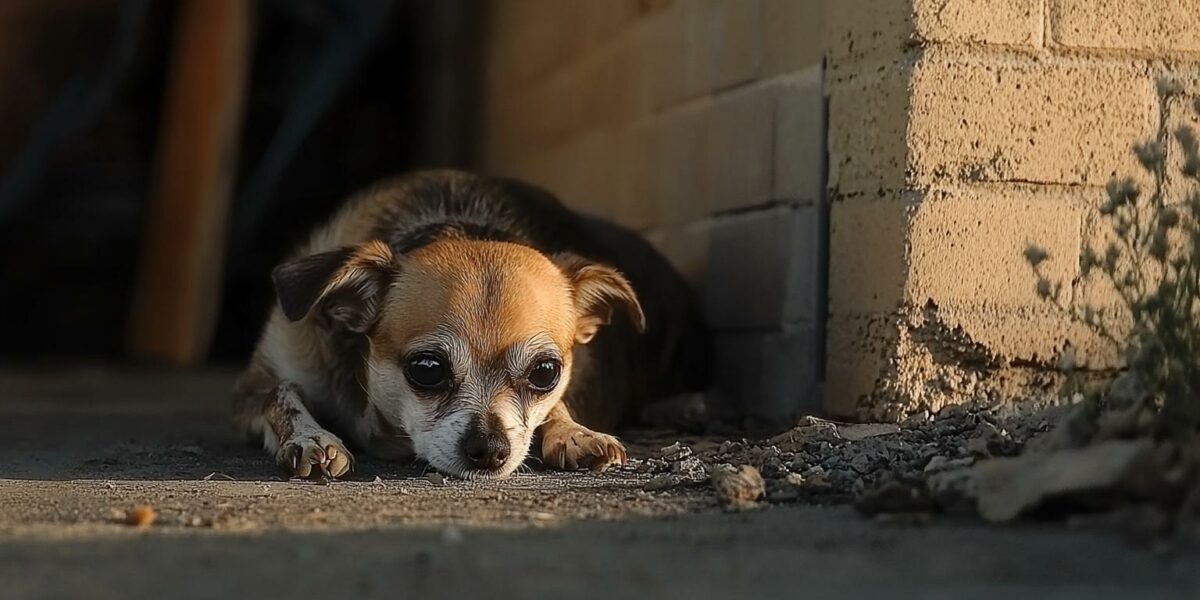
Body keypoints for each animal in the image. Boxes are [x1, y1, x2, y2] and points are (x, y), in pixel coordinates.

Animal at [231, 171, 700, 480]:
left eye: (545, 372)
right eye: (426, 370)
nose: (490, 449)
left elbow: (559, 407)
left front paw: (574, 433)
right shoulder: (257, 385)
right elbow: (281, 393)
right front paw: (311, 438)